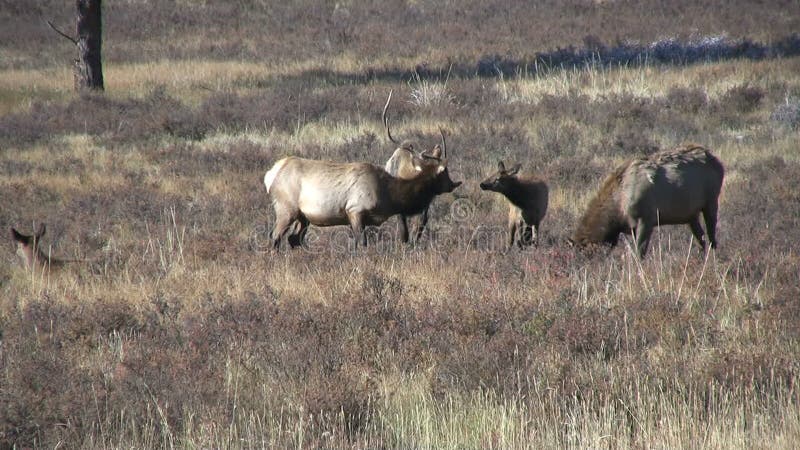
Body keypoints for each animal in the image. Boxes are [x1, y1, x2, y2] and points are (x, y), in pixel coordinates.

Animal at [568, 142, 724, 258]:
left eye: (585, 253)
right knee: (701, 238)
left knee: (711, 236)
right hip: (691, 214)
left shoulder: (646, 219)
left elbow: (639, 253)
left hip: (711, 202)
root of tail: (719, 163)